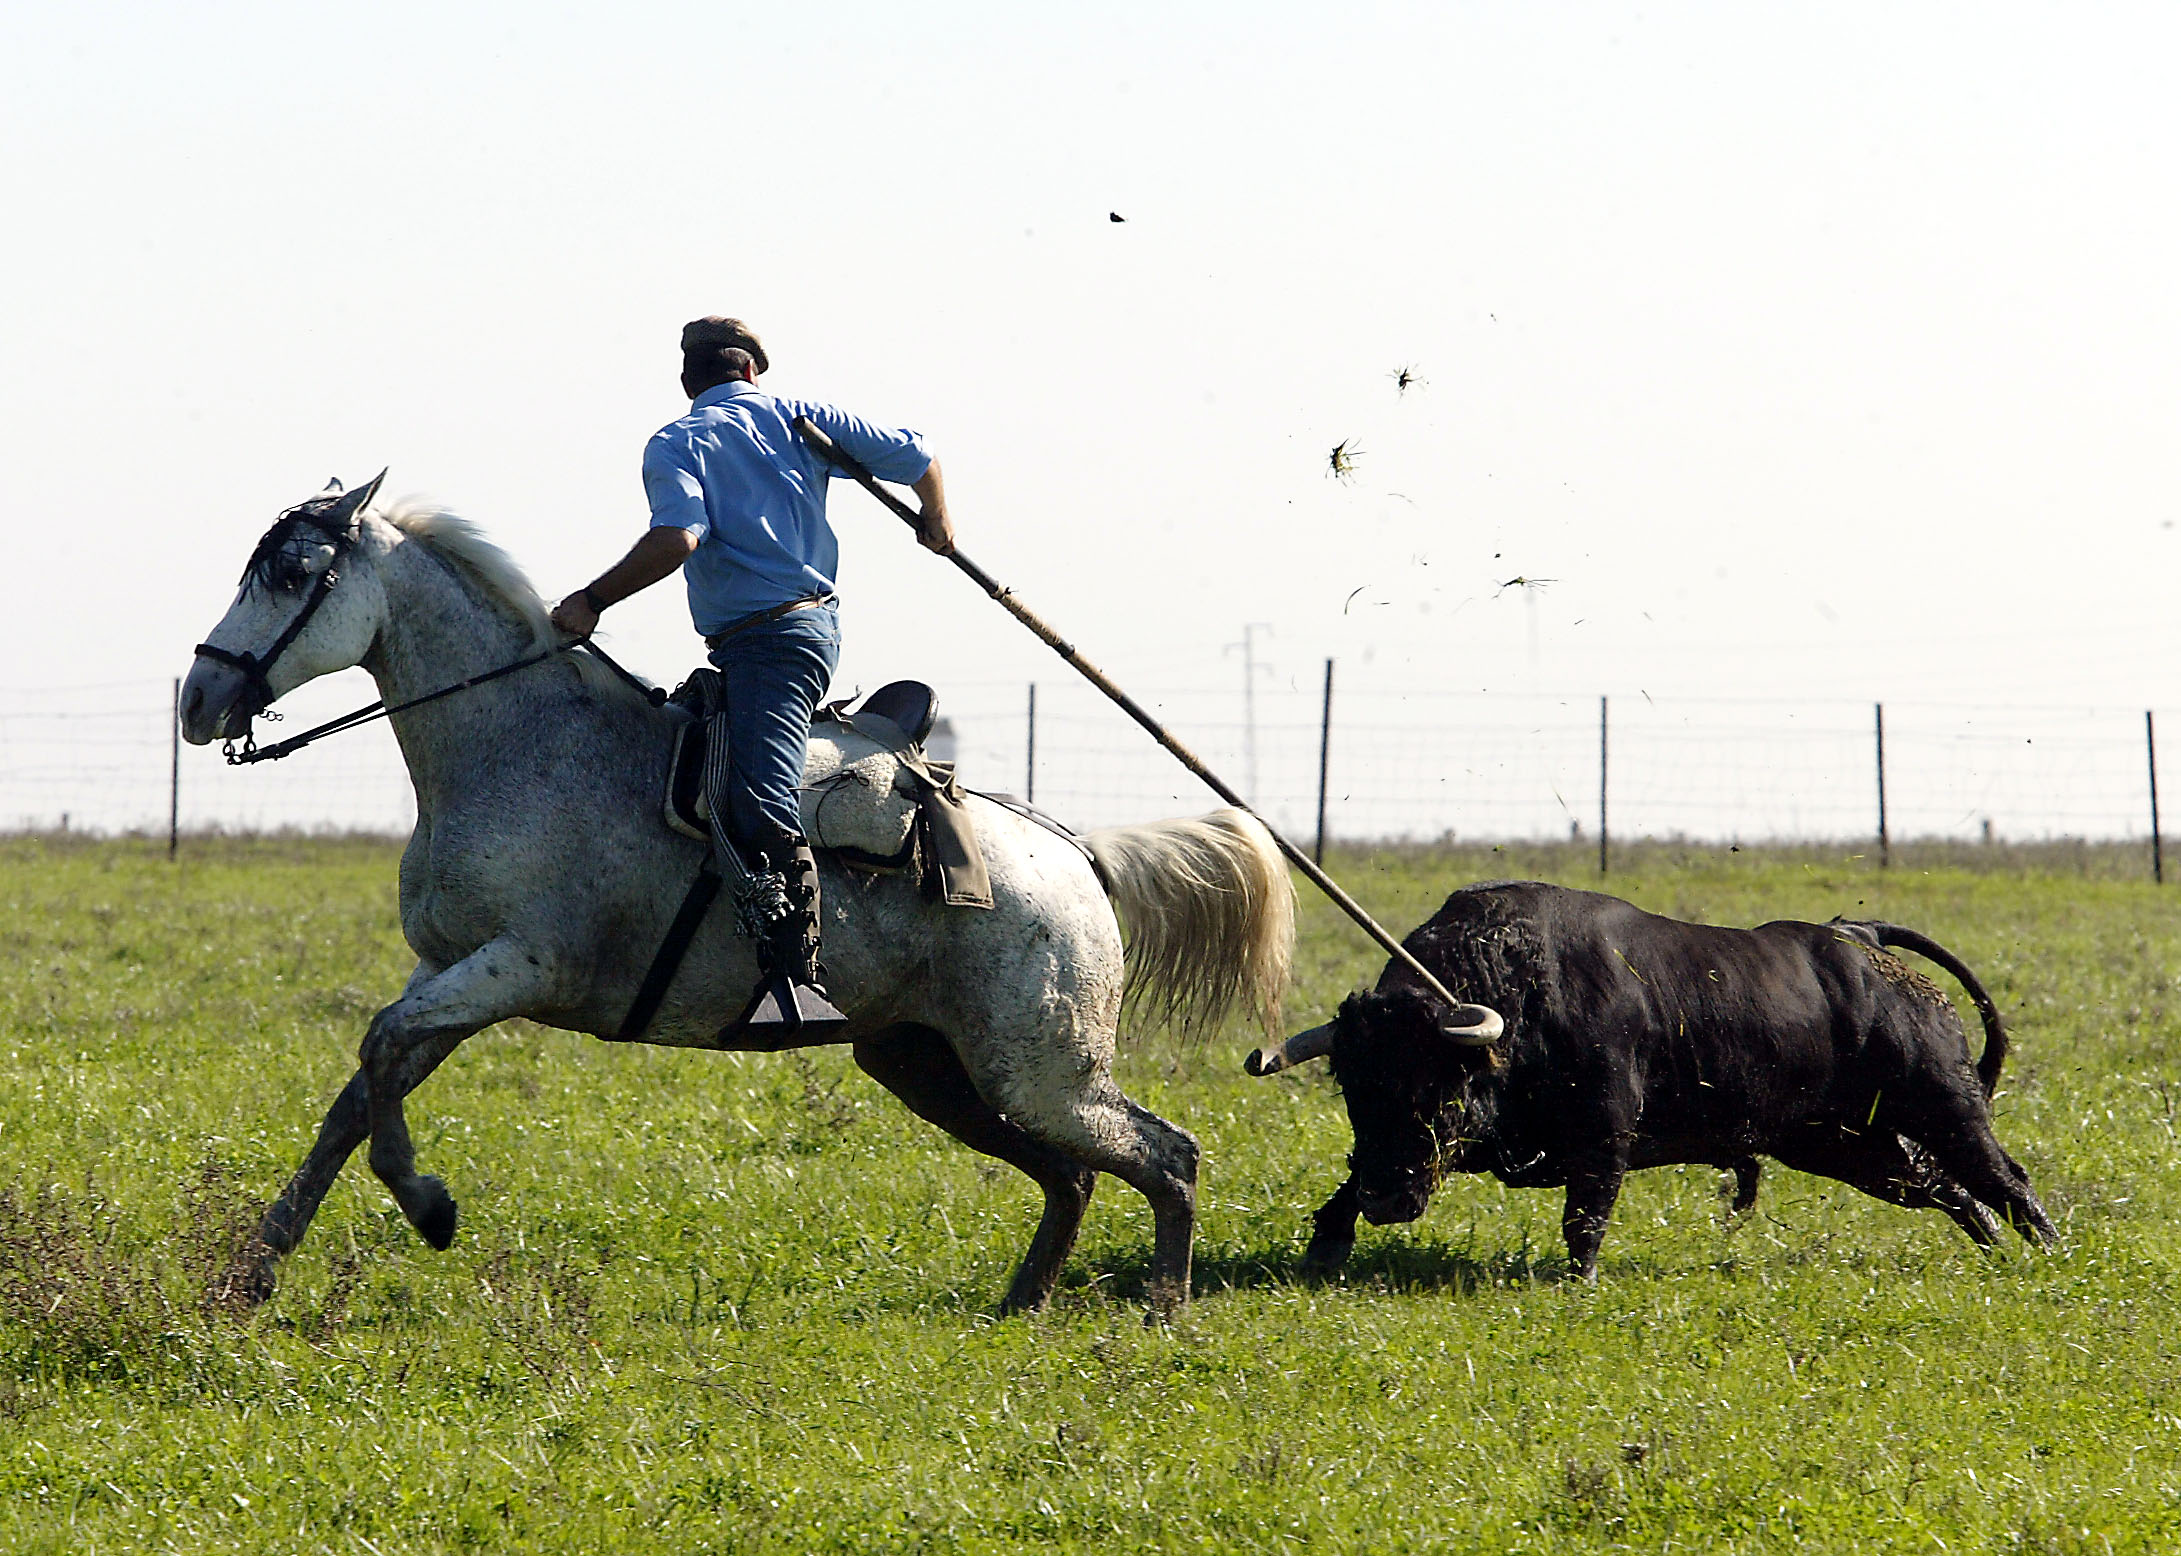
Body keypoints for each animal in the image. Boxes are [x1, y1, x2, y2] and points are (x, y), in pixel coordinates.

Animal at [179, 476, 1296, 1313]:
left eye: (293, 574)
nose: (198, 698)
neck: (520, 745)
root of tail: (1077, 854)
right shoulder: (446, 970)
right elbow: (362, 1089)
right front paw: (256, 1267)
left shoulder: (516, 969)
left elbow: (377, 1055)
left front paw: (429, 1207)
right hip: (930, 1065)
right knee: (1073, 1175)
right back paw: (1021, 1303)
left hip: (1038, 1072)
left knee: (1167, 1153)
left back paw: (1160, 1311)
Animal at [1246, 881, 2058, 1278]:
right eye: (1356, 1091)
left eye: (1433, 1084)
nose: (1388, 1201)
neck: (1527, 992)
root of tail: (1856, 942)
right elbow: (1344, 1184)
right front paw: (1325, 1245)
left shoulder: (1602, 1139)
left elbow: (1585, 1219)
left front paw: (1576, 1280)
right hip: (1849, 1148)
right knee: (1946, 1188)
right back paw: (1992, 1246)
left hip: (1946, 1107)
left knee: (2003, 1178)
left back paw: (2051, 1253)